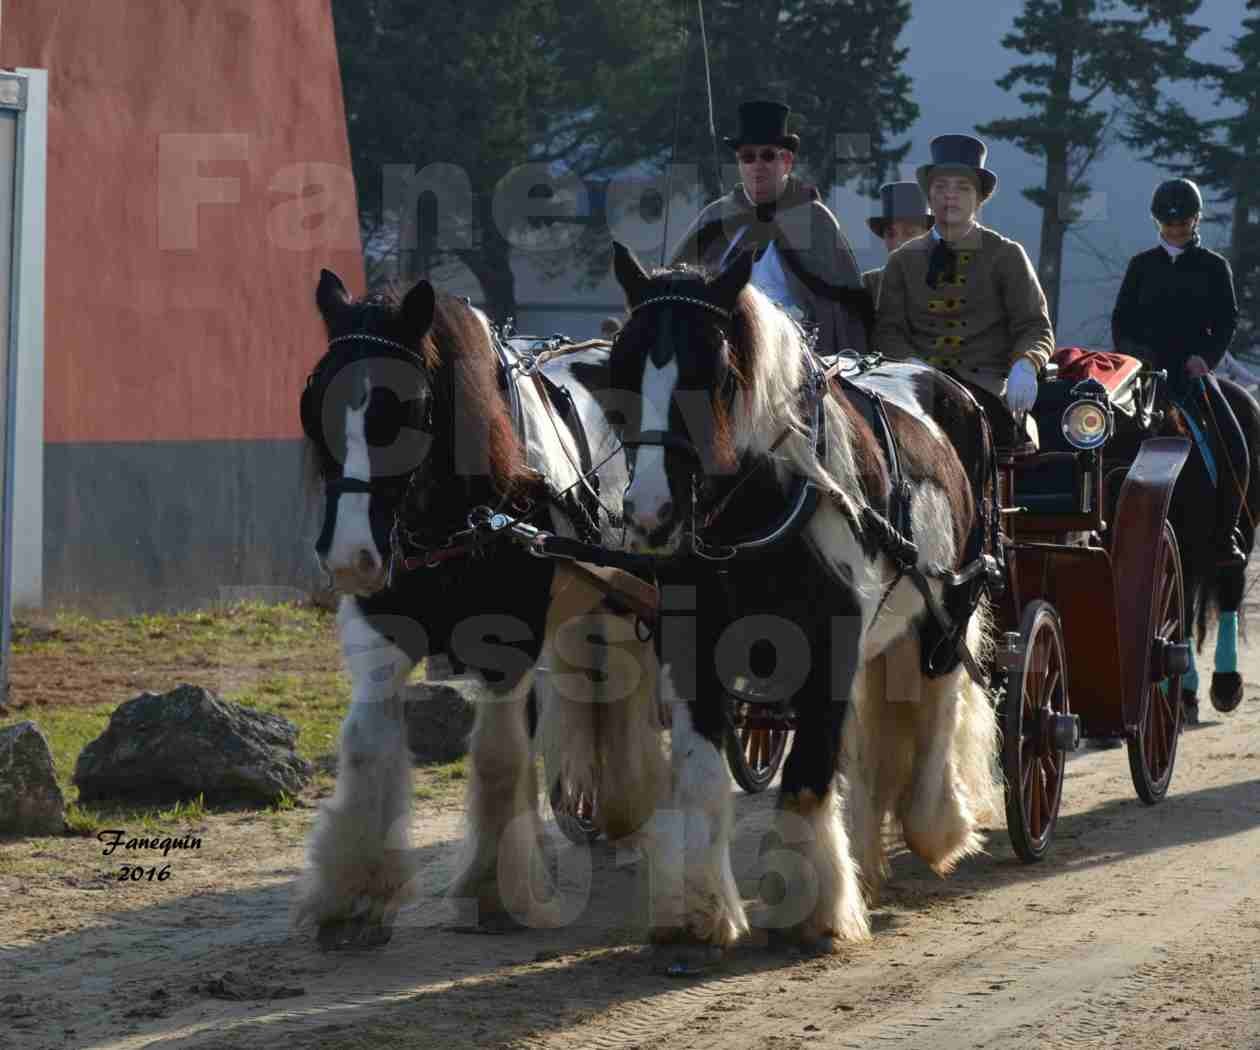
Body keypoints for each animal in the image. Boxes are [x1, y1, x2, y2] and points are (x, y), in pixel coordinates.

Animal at [296, 274, 670, 947]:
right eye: (314, 403)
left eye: (407, 409)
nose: (349, 558)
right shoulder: (382, 629)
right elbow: (364, 744)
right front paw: (353, 892)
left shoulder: (508, 639)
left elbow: (497, 757)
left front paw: (494, 891)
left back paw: (626, 814)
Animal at [604, 242, 997, 963]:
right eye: (619, 366)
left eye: (714, 371)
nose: (649, 514)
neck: (766, 501)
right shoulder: (690, 646)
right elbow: (704, 779)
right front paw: (700, 909)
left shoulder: (831, 643)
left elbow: (810, 773)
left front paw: (809, 910)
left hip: (948, 608)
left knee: (939, 707)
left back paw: (938, 828)